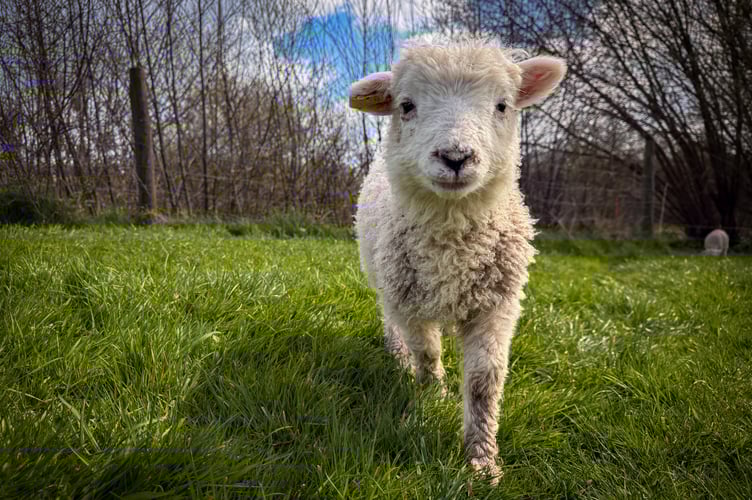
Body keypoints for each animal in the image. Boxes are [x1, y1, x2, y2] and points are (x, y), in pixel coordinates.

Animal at [350, 33, 566, 482]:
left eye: (502, 105)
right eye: (406, 105)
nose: (455, 157)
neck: (452, 246)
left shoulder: (497, 306)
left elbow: (484, 382)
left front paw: (482, 461)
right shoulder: (410, 303)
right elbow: (427, 354)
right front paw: (433, 396)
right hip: (385, 280)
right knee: (391, 321)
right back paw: (397, 355)